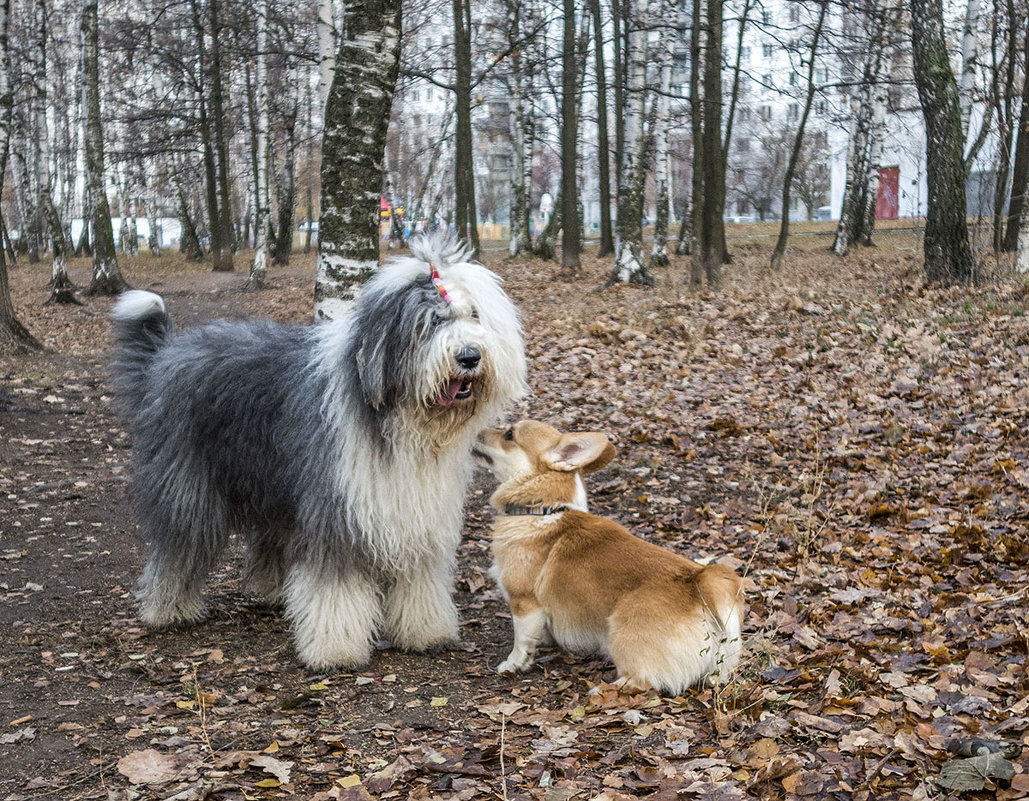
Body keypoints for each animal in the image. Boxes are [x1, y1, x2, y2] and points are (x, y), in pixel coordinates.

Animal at [109, 232, 526, 667]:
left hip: (273, 486)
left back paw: (272, 593)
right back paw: (168, 609)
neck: (402, 419)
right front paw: (335, 648)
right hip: (189, 484)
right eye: (430, 322)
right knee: (179, 541)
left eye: (475, 315)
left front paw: (425, 630)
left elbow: (419, 575)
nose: (469, 357)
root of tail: (165, 355)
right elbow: (335, 584)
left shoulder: (413, 508)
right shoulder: (335, 506)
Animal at [471, 418, 744, 691]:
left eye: (509, 434)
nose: (474, 429)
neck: (541, 510)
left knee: (641, 681)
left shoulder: (524, 603)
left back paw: (602, 690)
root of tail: (699, 582)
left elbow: (521, 641)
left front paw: (513, 664)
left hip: (621, 632)